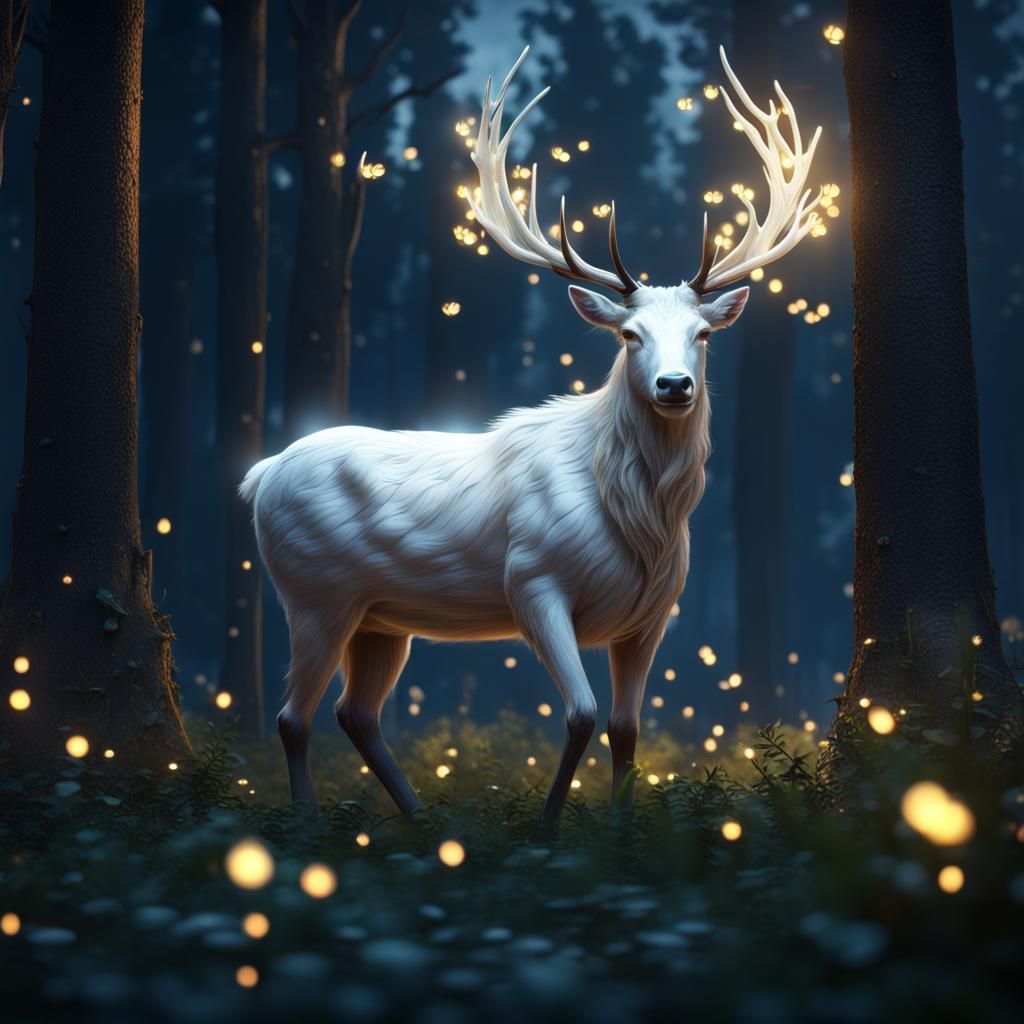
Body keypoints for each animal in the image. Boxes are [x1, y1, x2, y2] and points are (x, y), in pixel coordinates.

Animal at [240, 46, 823, 824]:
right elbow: (579, 714)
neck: (642, 518)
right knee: (292, 717)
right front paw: (548, 826)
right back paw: (308, 820)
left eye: (702, 335)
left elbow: (626, 728)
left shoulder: (651, 617)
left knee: (355, 713)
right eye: (630, 335)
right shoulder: (533, 581)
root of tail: (260, 473)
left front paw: (621, 827)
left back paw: (418, 819)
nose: (675, 386)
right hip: (313, 593)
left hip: (380, 619)